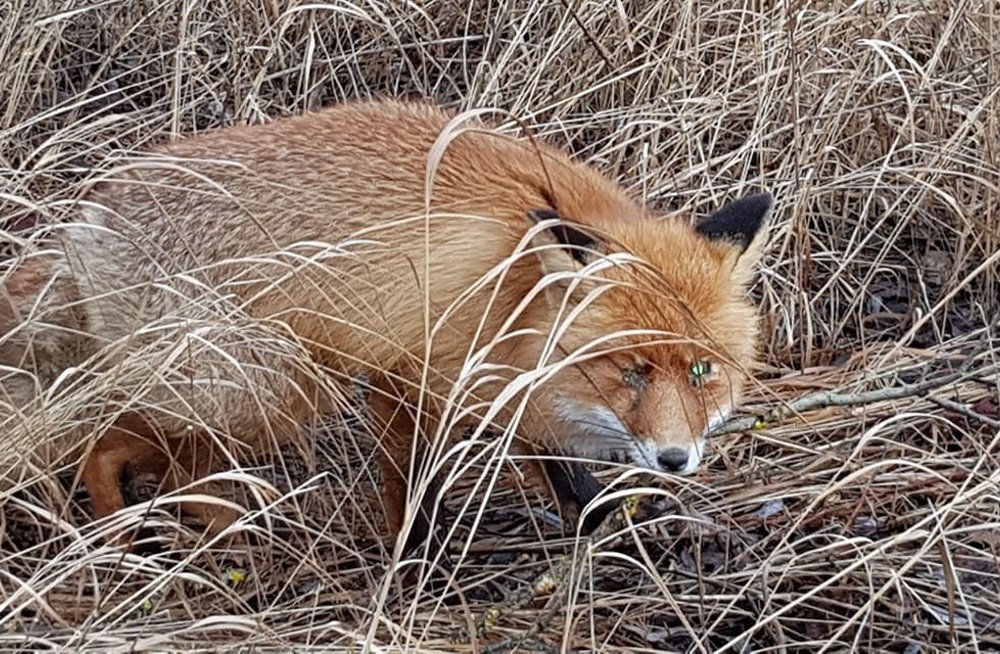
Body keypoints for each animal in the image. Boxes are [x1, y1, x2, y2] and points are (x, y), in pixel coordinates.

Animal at [0, 96, 772, 548]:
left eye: (702, 372)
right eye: (631, 371)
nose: (675, 460)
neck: (516, 290)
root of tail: (83, 219)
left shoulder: (511, 389)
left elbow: (567, 482)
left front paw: (597, 526)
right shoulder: (411, 371)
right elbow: (408, 484)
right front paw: (412, 556)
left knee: (151, 457)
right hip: (272, 389)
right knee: (109, 447)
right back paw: (165, 536)